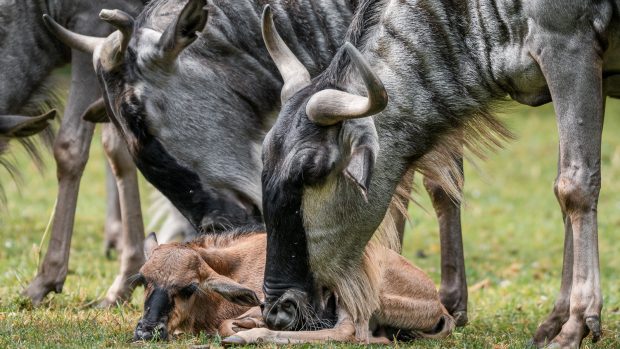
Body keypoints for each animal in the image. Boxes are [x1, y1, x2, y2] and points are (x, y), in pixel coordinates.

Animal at [136, 226, 452, 342]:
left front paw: (247, 327)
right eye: (145, 281)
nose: (147, 331)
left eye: (188, 287)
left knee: (348, 332)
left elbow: (227, 324)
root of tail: (438, 304)